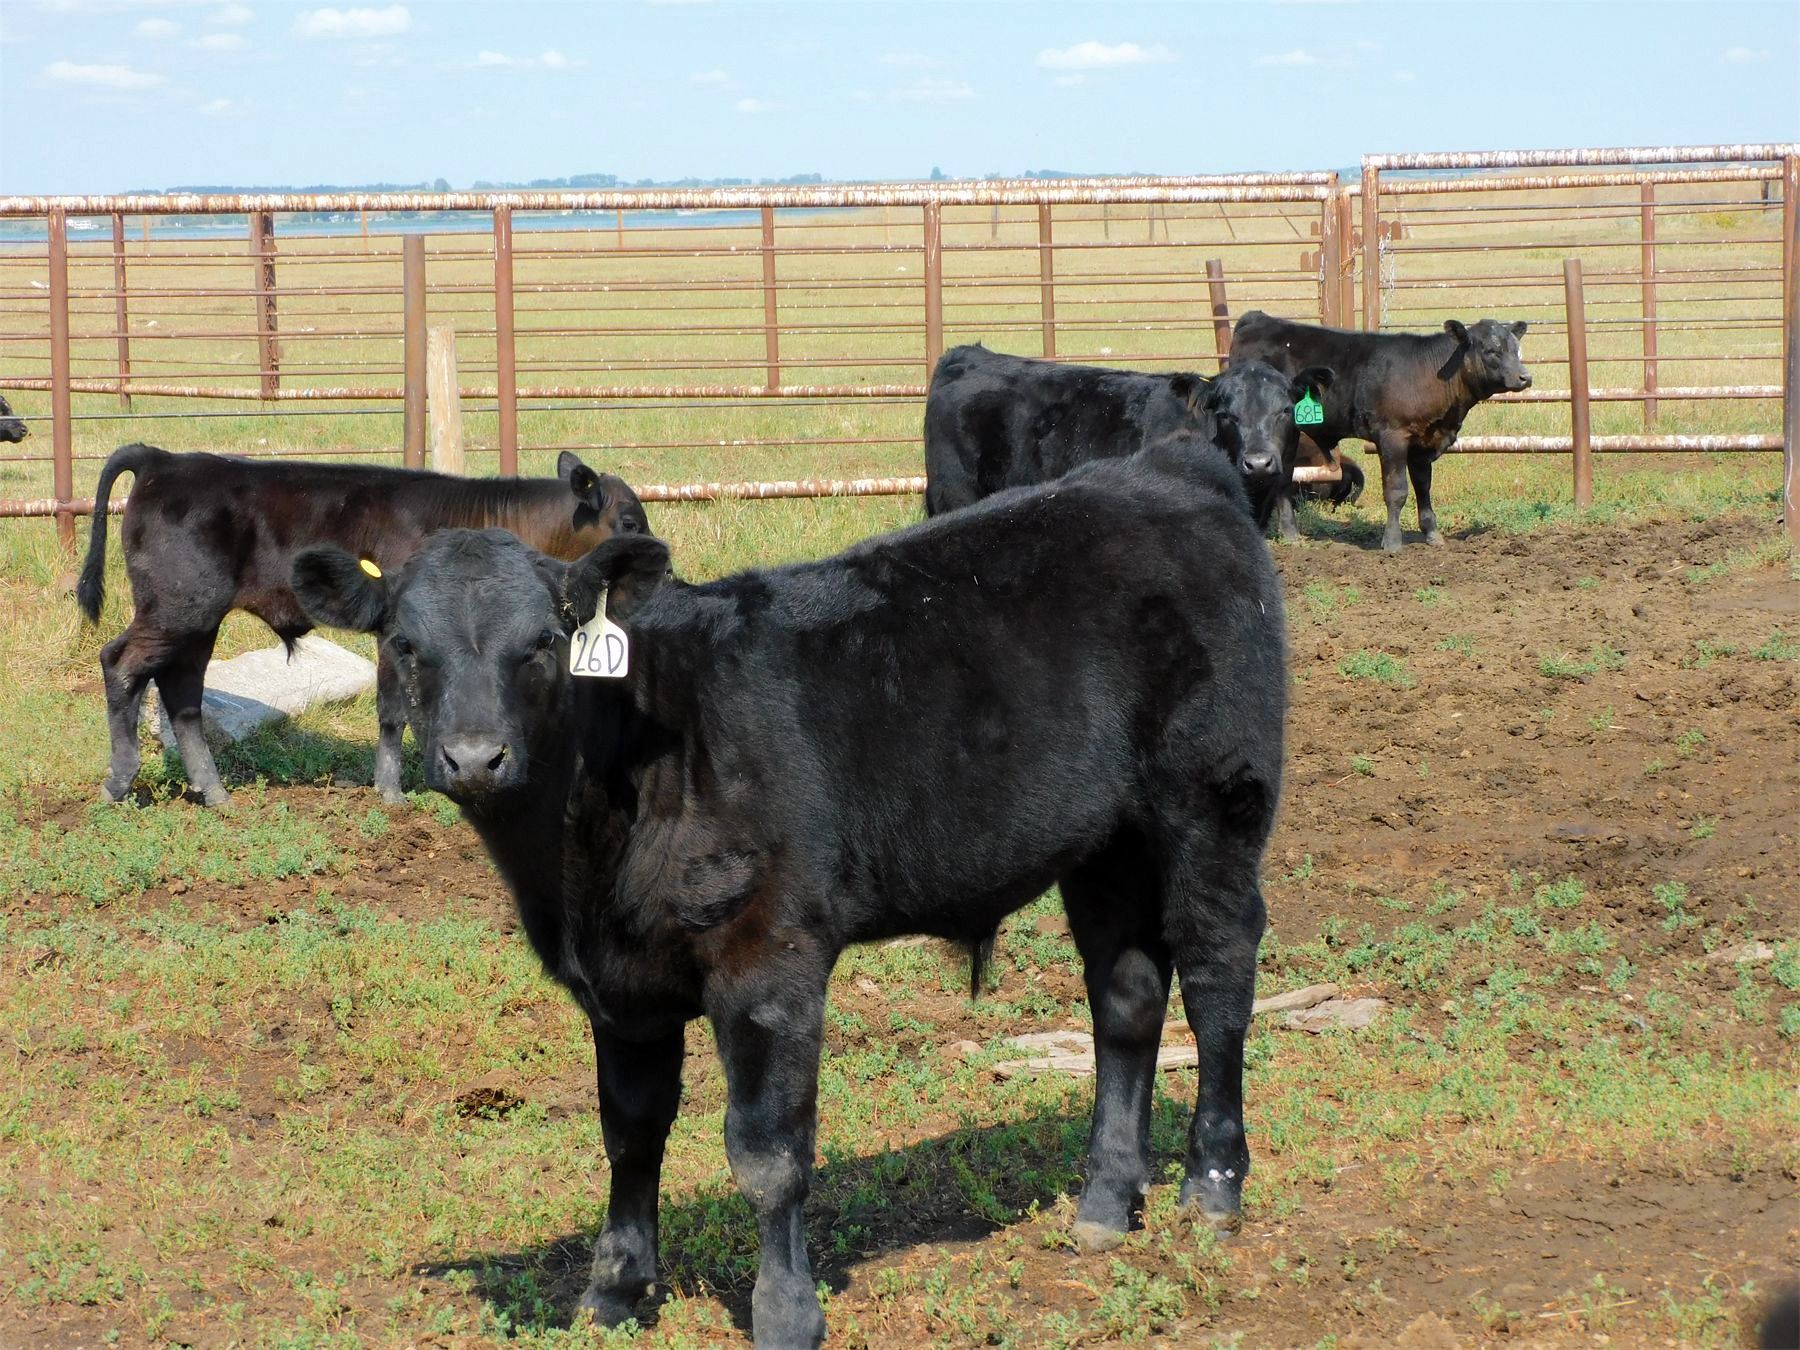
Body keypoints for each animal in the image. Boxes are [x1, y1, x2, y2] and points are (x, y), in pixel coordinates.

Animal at [76, 443, 649, 808]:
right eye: (627, 521)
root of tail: (163, 460)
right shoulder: (398, 635)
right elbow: (394, 712)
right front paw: (394, 791)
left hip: (196, 621)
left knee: (183, 695)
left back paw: (213, 792)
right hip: (177, 610)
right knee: (121, 664)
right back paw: (119, 782)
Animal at [291, 437, 1288, 1348]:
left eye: (543, 643)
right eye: (404, 645)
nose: (473, 757)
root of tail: (1162, 465)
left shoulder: (769, 960)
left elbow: (768, 1153)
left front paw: (784, 1313)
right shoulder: (622, 988)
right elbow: (630, 1131)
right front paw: (614, 1290)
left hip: (1214, 803)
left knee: (1217, 977)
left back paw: (1211, 1186)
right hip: (1105, 846)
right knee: (1126, 995)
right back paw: (1106, 1202)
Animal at [1230, 310, 1531, 552]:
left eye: (1517, 349)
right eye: (1491, 350)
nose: (1525, 377)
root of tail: (1257, 318)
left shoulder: (1423, 445)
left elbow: (1423, 488)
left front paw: (1433, 534)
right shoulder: (1392, 438)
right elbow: (1396, 491)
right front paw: (1393, 542)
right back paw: (1287, 533)